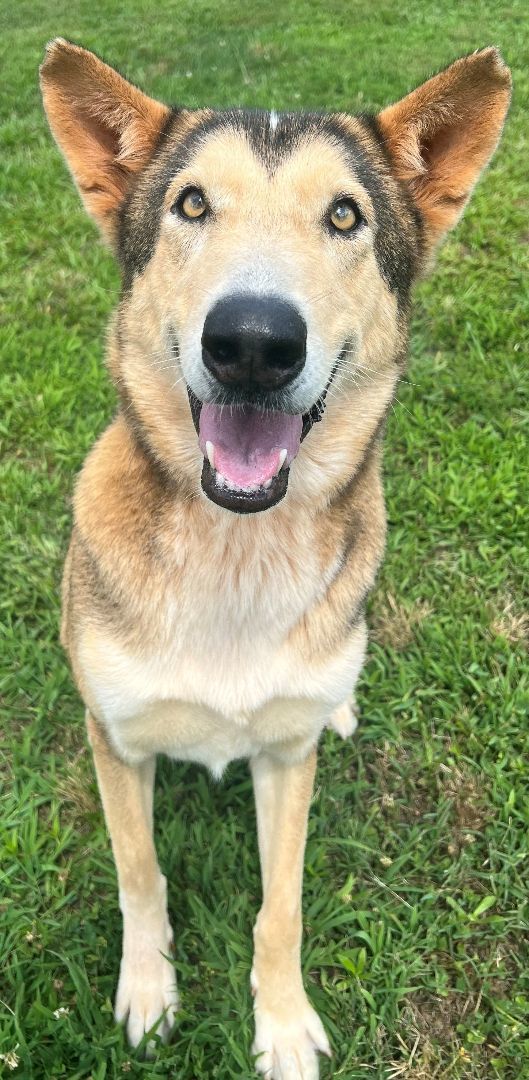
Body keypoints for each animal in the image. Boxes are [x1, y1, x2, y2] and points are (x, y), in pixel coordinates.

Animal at [42, 38, 511, 1075]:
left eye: (344, 215)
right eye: (190, 204)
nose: (252, 342)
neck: (235, 552)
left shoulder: (286, 766)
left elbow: (281, 907)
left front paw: (284, 1023)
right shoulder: (115, 741)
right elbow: (140, 873)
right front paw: (149, 992)